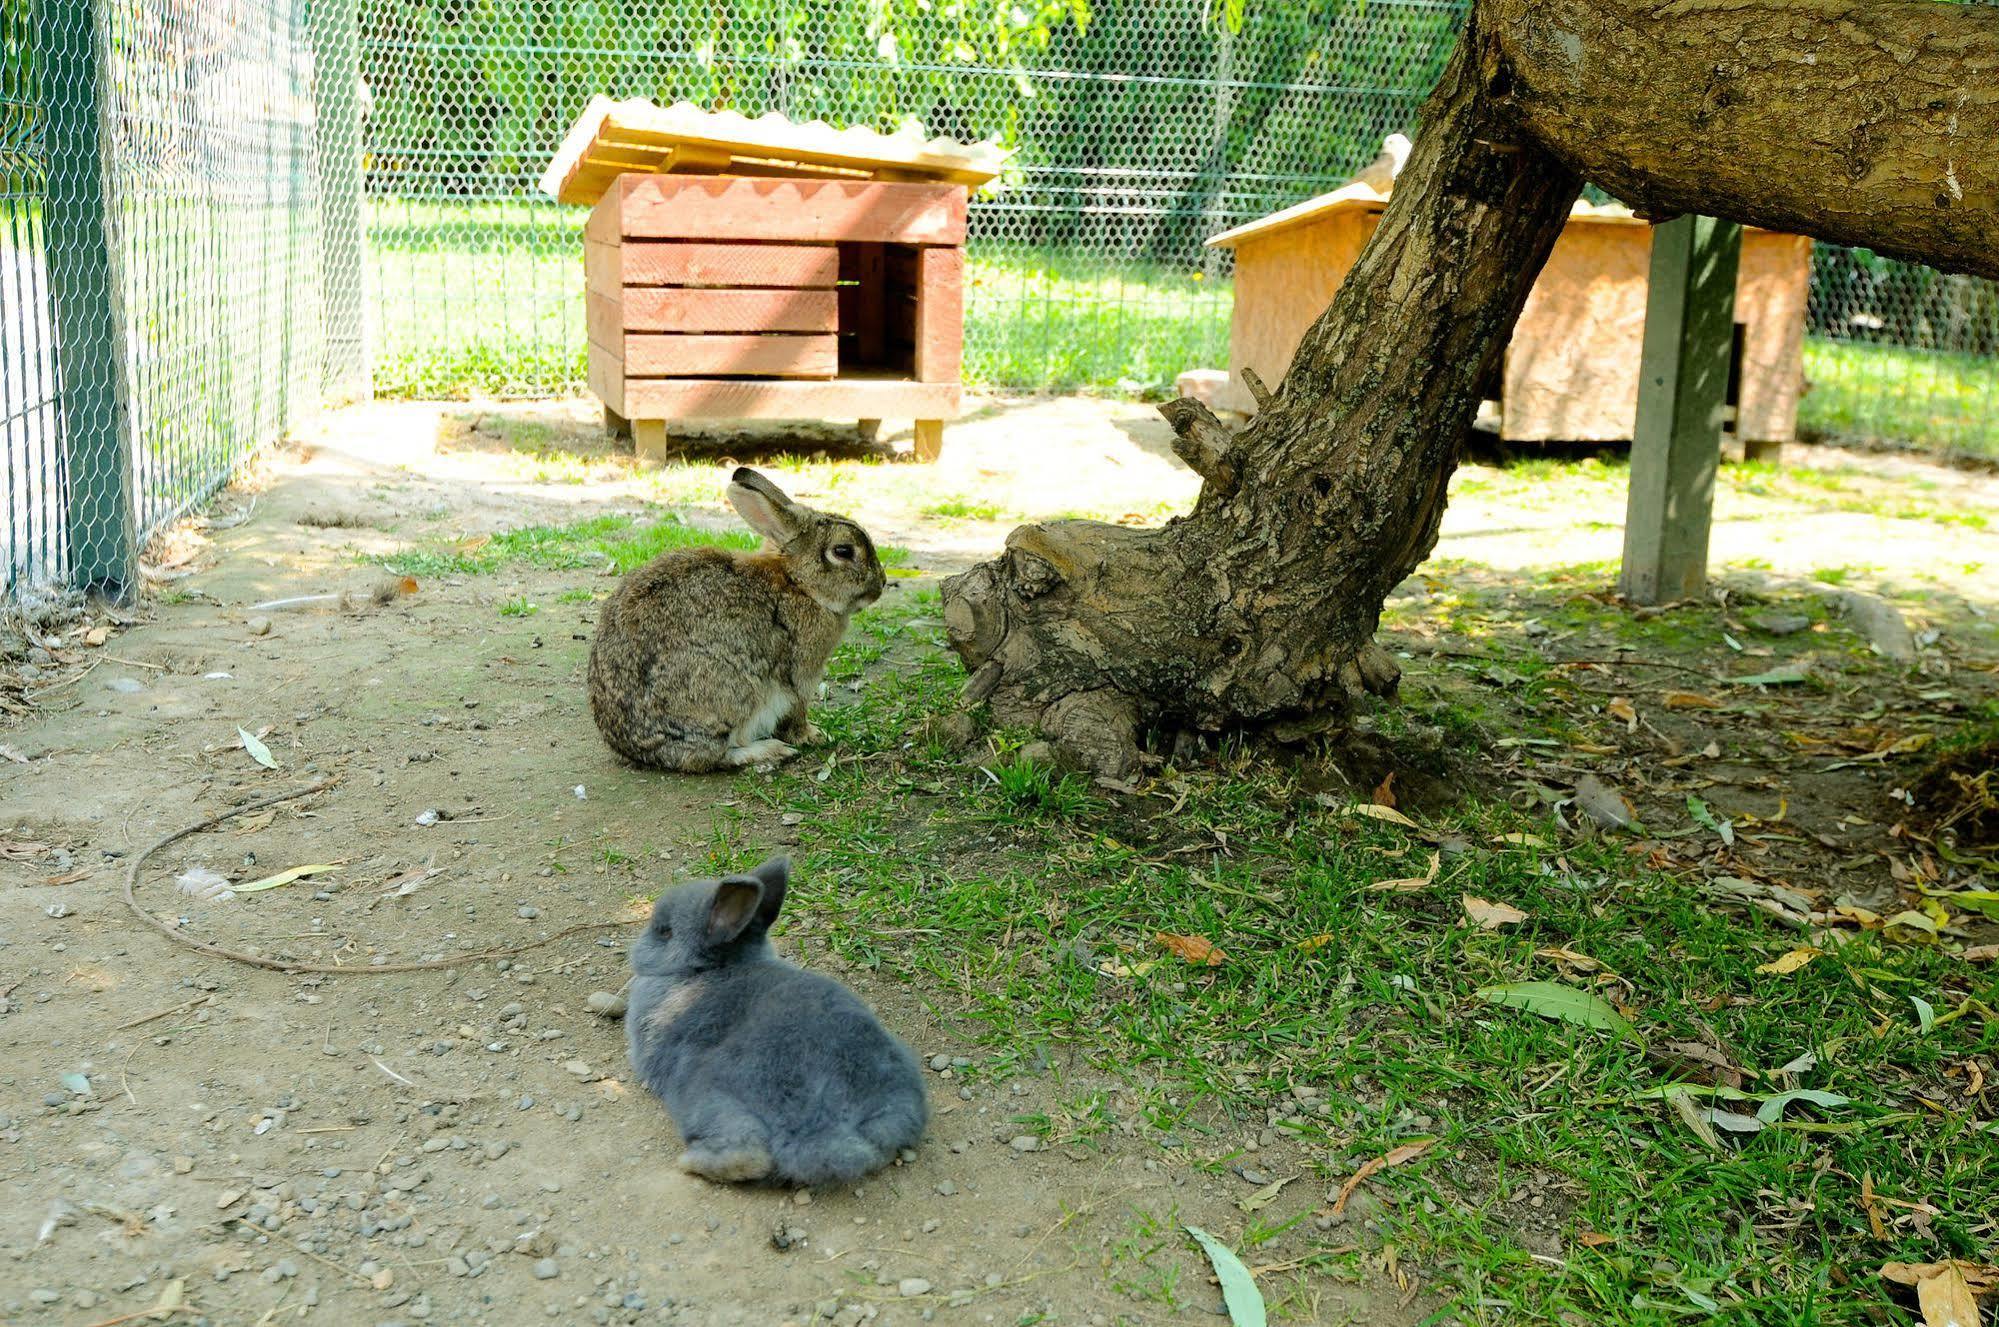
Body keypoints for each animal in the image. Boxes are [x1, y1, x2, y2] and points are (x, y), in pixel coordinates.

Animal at [583, 469, 883, 771]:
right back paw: (769, 750)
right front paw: (813, 735)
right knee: (714, 755)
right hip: (731, 694)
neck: (797, 583)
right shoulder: (799, 676)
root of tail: (640, 749)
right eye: (843, 551)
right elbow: (796, 711)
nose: (881, 584)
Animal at [623, 855, 927, 1183]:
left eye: (664, 931)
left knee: (750, 1156)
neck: (705, 971)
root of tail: (825, 1132)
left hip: (710, 1100)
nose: (635, 948)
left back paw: (690, 1163)